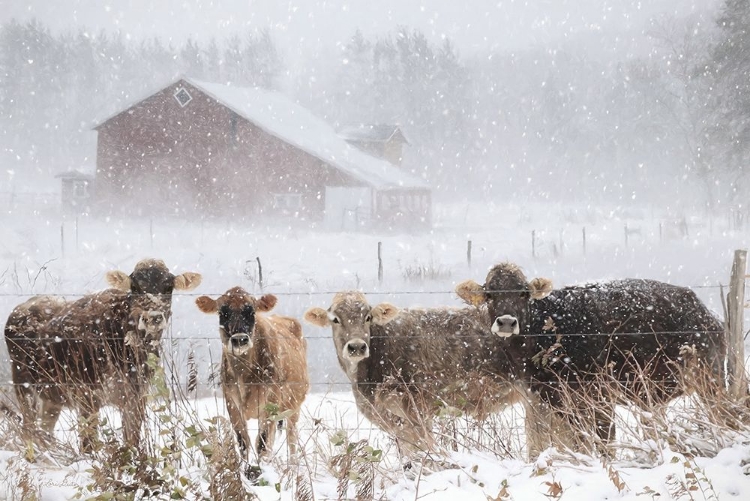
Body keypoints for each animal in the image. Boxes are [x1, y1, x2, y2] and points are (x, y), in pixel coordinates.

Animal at [4, 260, 203, 452]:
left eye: (168, 287)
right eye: (135, 287)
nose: (153, 317)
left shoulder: (137, 397)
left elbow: (132, 441)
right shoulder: (87, 395)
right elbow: (88, 445)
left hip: (52, 397)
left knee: (46, 430)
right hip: (24, 386)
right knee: (29, 430)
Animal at [197, 288, 312, 462]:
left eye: (251, 311)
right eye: (223, 313)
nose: (240, 339)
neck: (244, 374)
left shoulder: (271, 400)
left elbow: (263, 443)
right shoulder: (232, 403)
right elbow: (243, 442)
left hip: (293, 407)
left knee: (291, 439)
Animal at [456, 262, 732, 454]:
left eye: (524, 293)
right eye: (490, 294)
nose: (506, 322)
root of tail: (705, 312)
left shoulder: (600, 397)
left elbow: (603, 443)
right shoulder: (552, 400)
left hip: (711, 382)